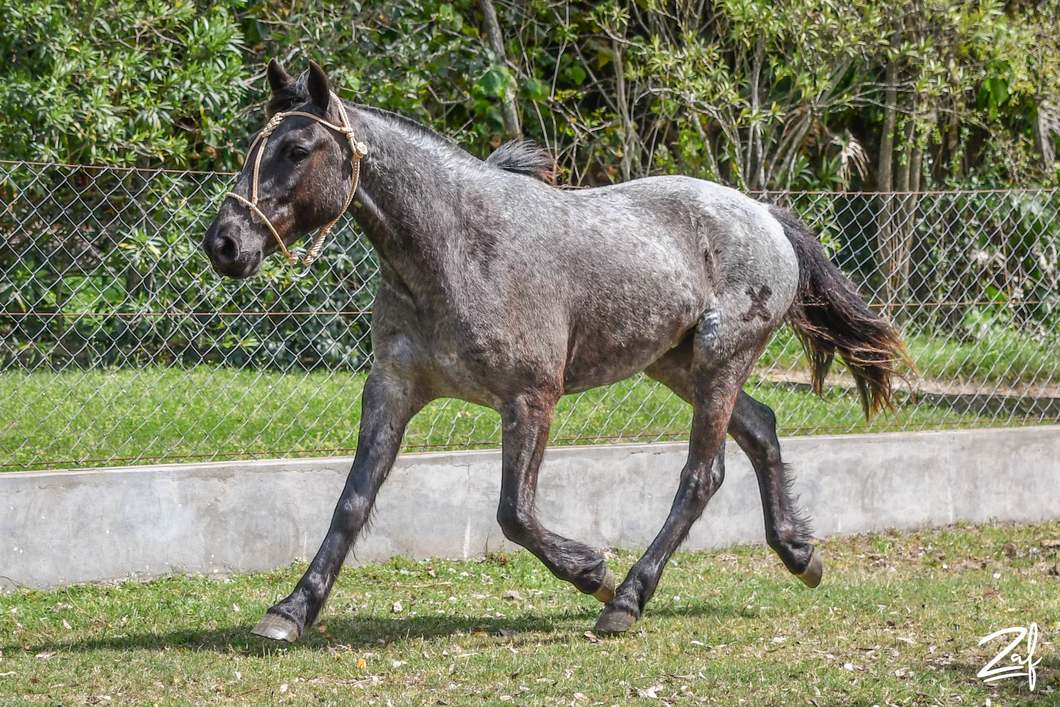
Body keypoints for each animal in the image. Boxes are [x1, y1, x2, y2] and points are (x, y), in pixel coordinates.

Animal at [202, 63, 907, 644]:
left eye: (297, 149)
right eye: (252, 147)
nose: (224, 244)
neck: (452, 248)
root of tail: (764, 216)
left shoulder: (530, 399)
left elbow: (514, 512)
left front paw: (593, 571)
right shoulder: (393, 388)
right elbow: (352, 500)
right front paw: (290, 611)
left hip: (718, 363)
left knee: (701, 477)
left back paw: (626, 600)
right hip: (678, 364)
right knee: (761, 428)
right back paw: (800, 555)